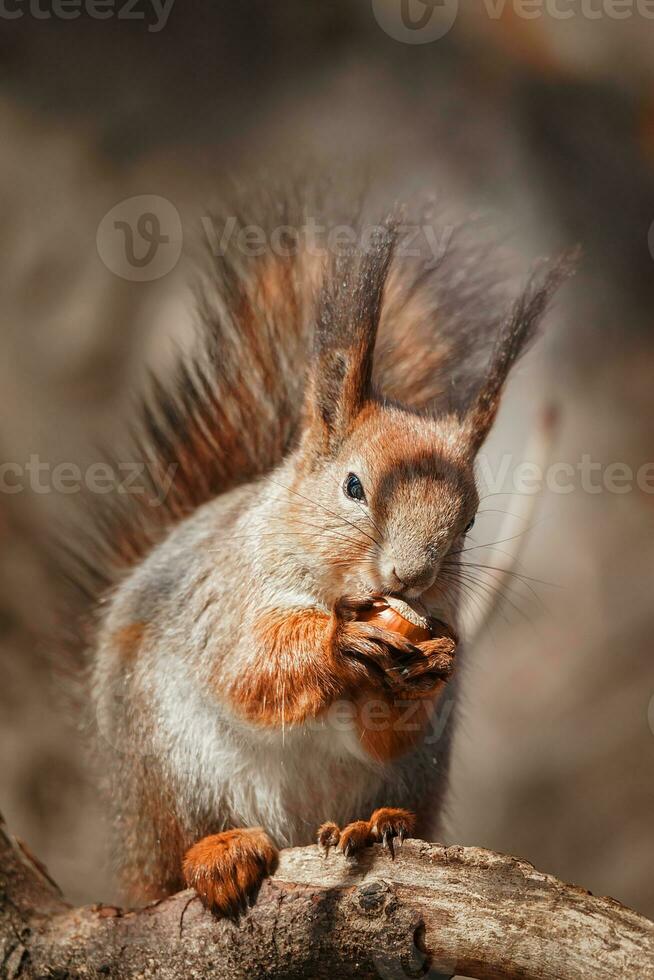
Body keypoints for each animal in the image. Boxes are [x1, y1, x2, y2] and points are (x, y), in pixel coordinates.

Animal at [78, 186, 576, 920]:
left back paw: (376, 823)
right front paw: (340, 643)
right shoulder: (227, 595)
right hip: (169, 762)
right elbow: (249, 670)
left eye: (471, 519)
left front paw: (432, 663)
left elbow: (390, 726)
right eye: (353, 487)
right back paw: (219, 853)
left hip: (414, 773)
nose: (410, 576)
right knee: (177, 858)